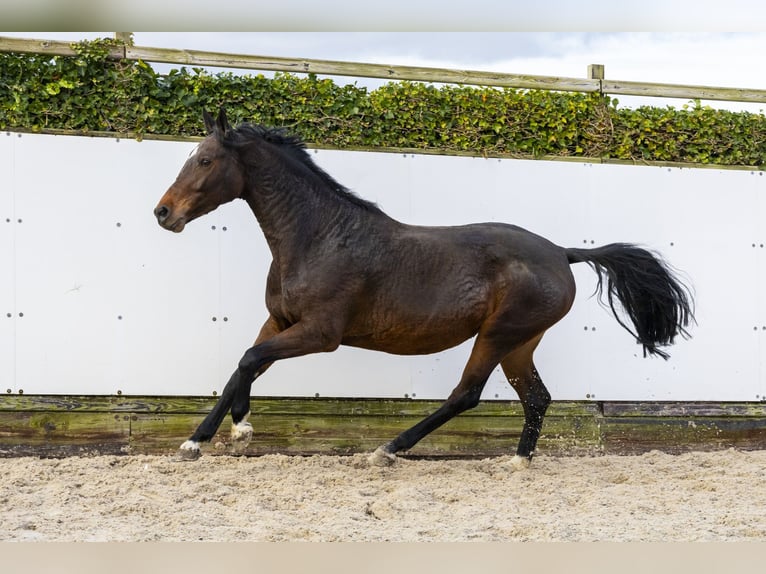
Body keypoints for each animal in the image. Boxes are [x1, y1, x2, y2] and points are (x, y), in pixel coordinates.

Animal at [153, 109, 692, 472]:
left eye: (205, 160)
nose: (162, 212)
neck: (318, 236)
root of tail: (562, 253)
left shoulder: (320, 333)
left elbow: (248, 359)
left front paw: (221, 434)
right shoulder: (281, 321)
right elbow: (245, 365)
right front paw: (221, 433)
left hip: (498, 334)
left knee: (466, 394)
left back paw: (388, 449)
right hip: (521, 342)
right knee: (537, 397)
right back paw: (518, 461)